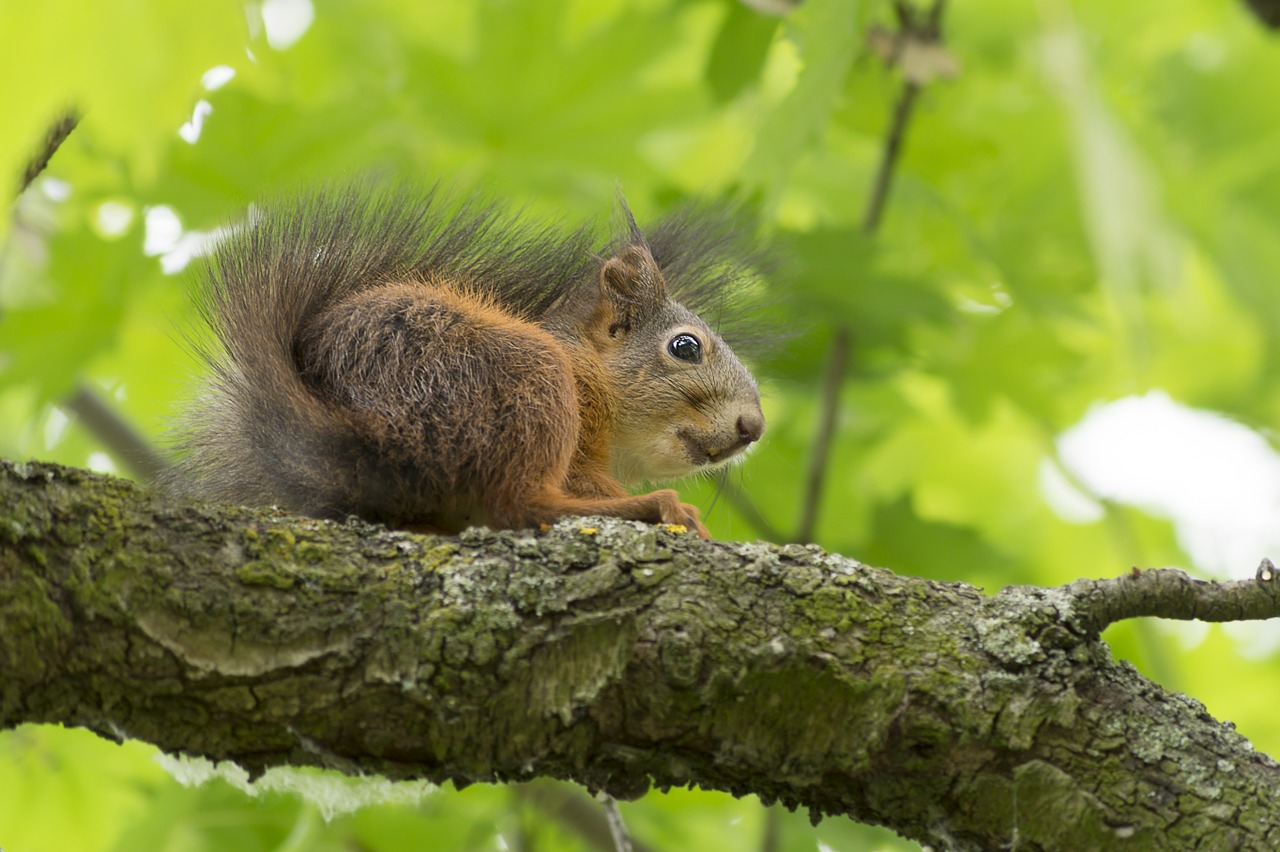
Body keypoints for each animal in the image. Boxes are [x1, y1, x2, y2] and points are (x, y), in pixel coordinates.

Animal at [172, 182, 768, 537]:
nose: (753, 427)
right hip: (524, 374)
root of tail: (369, 441)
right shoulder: (578, 418)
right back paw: (649, 505)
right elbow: (579, 482)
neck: (590, 365)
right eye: (685, 347)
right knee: (522, 503)